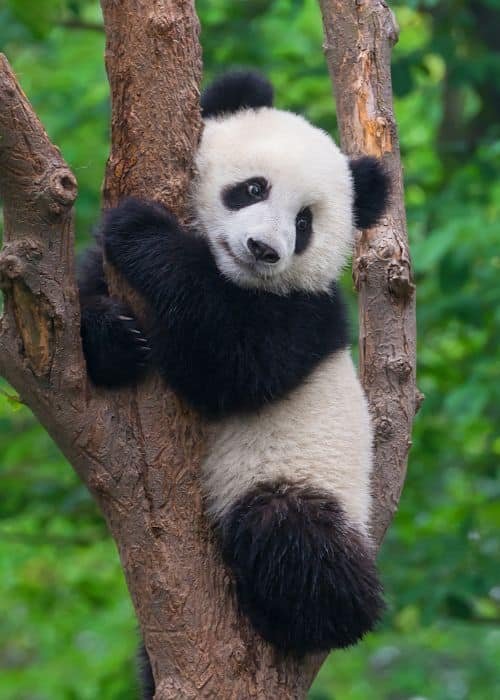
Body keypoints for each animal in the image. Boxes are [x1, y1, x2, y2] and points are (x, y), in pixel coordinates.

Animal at [78, 70, 389, 690]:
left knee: (295, 537)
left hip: (302, 478)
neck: (234, 276)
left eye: (304, 223)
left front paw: (142, 231)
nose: (264, 250)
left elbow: (232, 363)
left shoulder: (306, 315)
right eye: (252, 189)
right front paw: (115, 337)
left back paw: (308, 615)